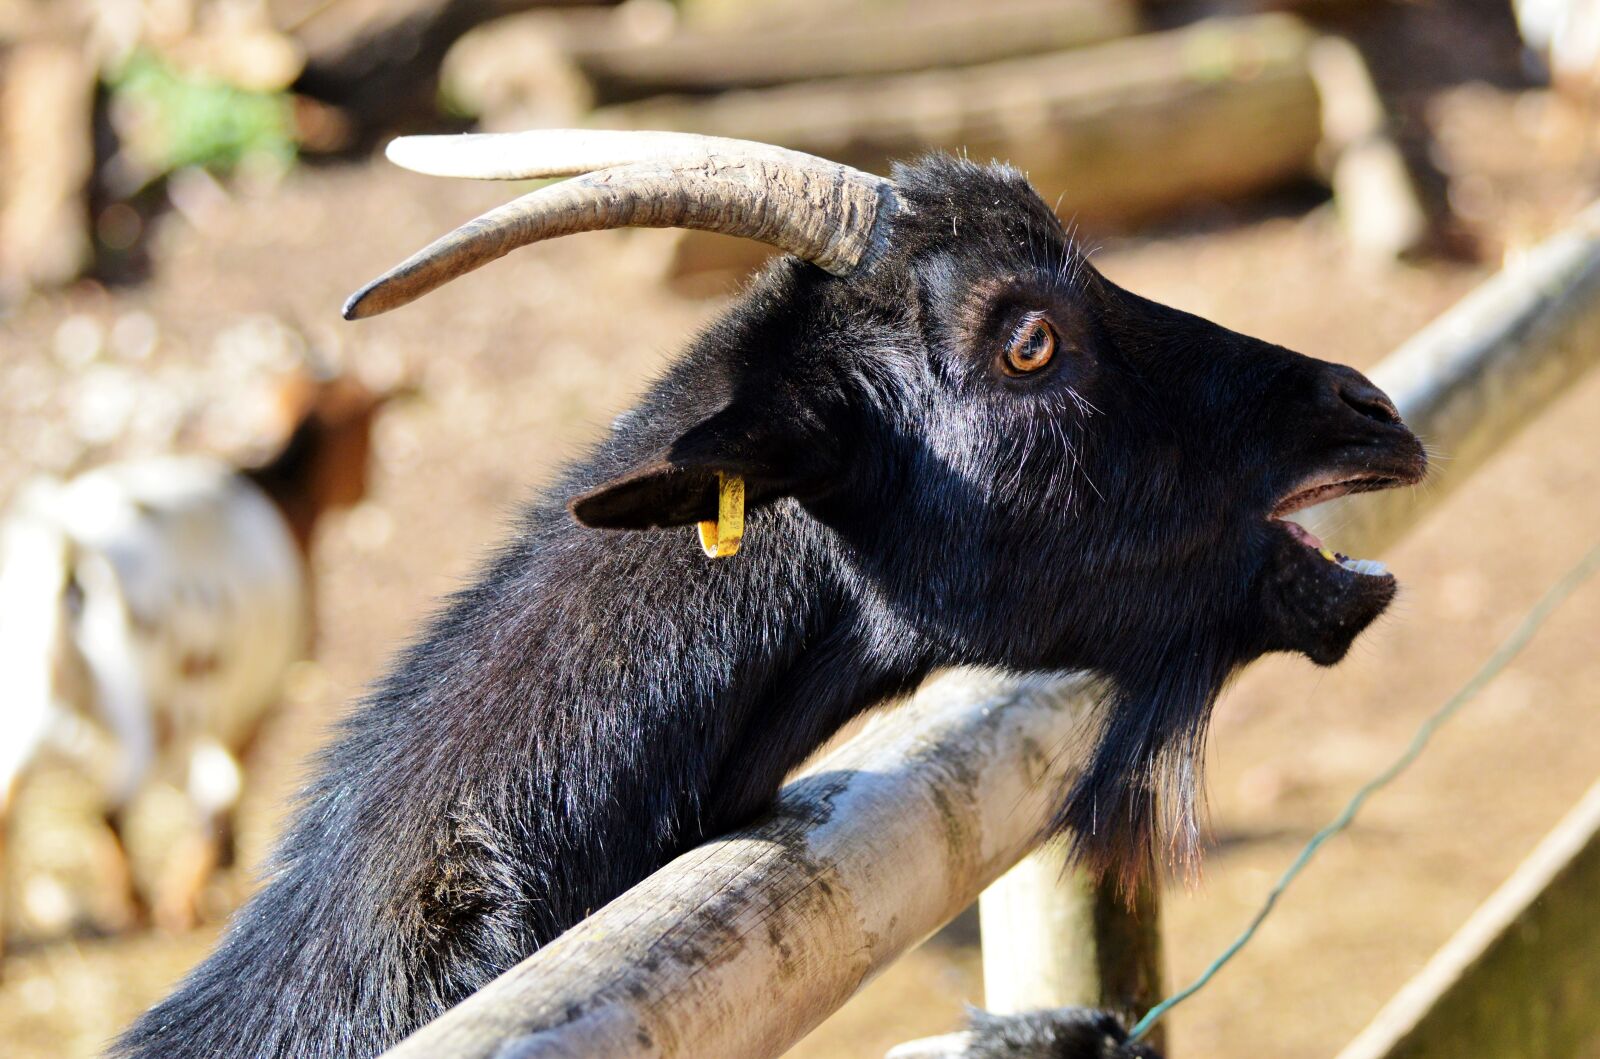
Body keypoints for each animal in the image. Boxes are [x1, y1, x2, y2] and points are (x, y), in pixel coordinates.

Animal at [0, 372, 388, 950]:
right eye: (366, 424)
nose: (368, 486)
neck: (282, 495)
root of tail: (69, 554)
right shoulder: (254, 696)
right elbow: (221, 789)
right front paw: (192, 894)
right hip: (151, 708)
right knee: (111, 809)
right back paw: (135, 905)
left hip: (22, 701)